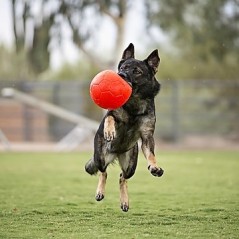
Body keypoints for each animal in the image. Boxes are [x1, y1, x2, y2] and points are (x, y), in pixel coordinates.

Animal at [84, 43, 164, 211]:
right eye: (123, 67)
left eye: (137, 71)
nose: (120, 75)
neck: (134, 104)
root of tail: (116, 153)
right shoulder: (112, 113)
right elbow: (109, 117)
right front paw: (109, 131)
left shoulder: (147, 137)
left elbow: (151, 154)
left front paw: (154, 167)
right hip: (100, 157)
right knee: (103, 172)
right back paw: (100, 192)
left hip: (130, 166)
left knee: (122, 177)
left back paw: (124, 202)